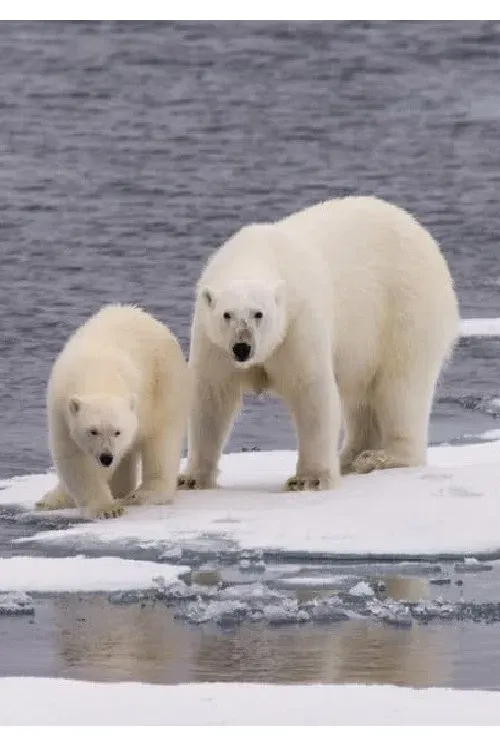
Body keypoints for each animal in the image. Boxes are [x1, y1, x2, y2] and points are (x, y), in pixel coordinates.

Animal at [36, 304, 189, 519]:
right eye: (93, 431)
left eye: (117, 431)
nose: (106, 457)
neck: (98, 372)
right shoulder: (61, 409)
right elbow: (74, 457)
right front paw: (107, 508)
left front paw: (109, 508)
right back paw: (51, 499)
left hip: (166, 384)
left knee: (162, 440)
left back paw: (143, 493)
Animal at [178, 195, 459, 493]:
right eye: (227, 314)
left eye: (258, 314)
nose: (242, 348)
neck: (256, 254)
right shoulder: (212, 340)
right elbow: (211, 396)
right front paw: (191, 478)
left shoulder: (298, 324)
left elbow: (311, 390)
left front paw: (309, 479)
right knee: (360, 396)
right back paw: (349, 458)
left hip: (405, 308)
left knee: (399, 387)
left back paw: (380, 457)